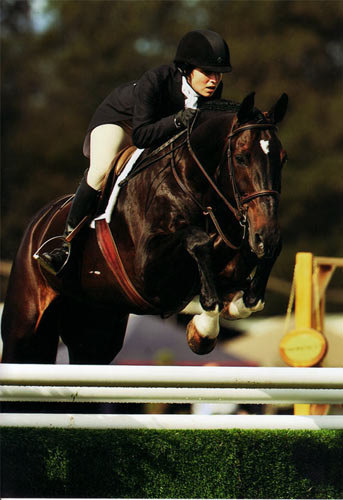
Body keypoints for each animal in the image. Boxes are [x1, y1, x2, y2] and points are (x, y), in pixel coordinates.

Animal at [1, 92, 288, 366]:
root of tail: (37, 222)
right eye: (241, 158)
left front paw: (229, 307)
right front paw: (203, 330)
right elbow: (198, 240)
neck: (193, 185)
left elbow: (247, 281)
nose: (267, 236)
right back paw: (57, 254)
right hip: (25, 328)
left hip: (95, 330)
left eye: (282, 159)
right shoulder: (148, 272)